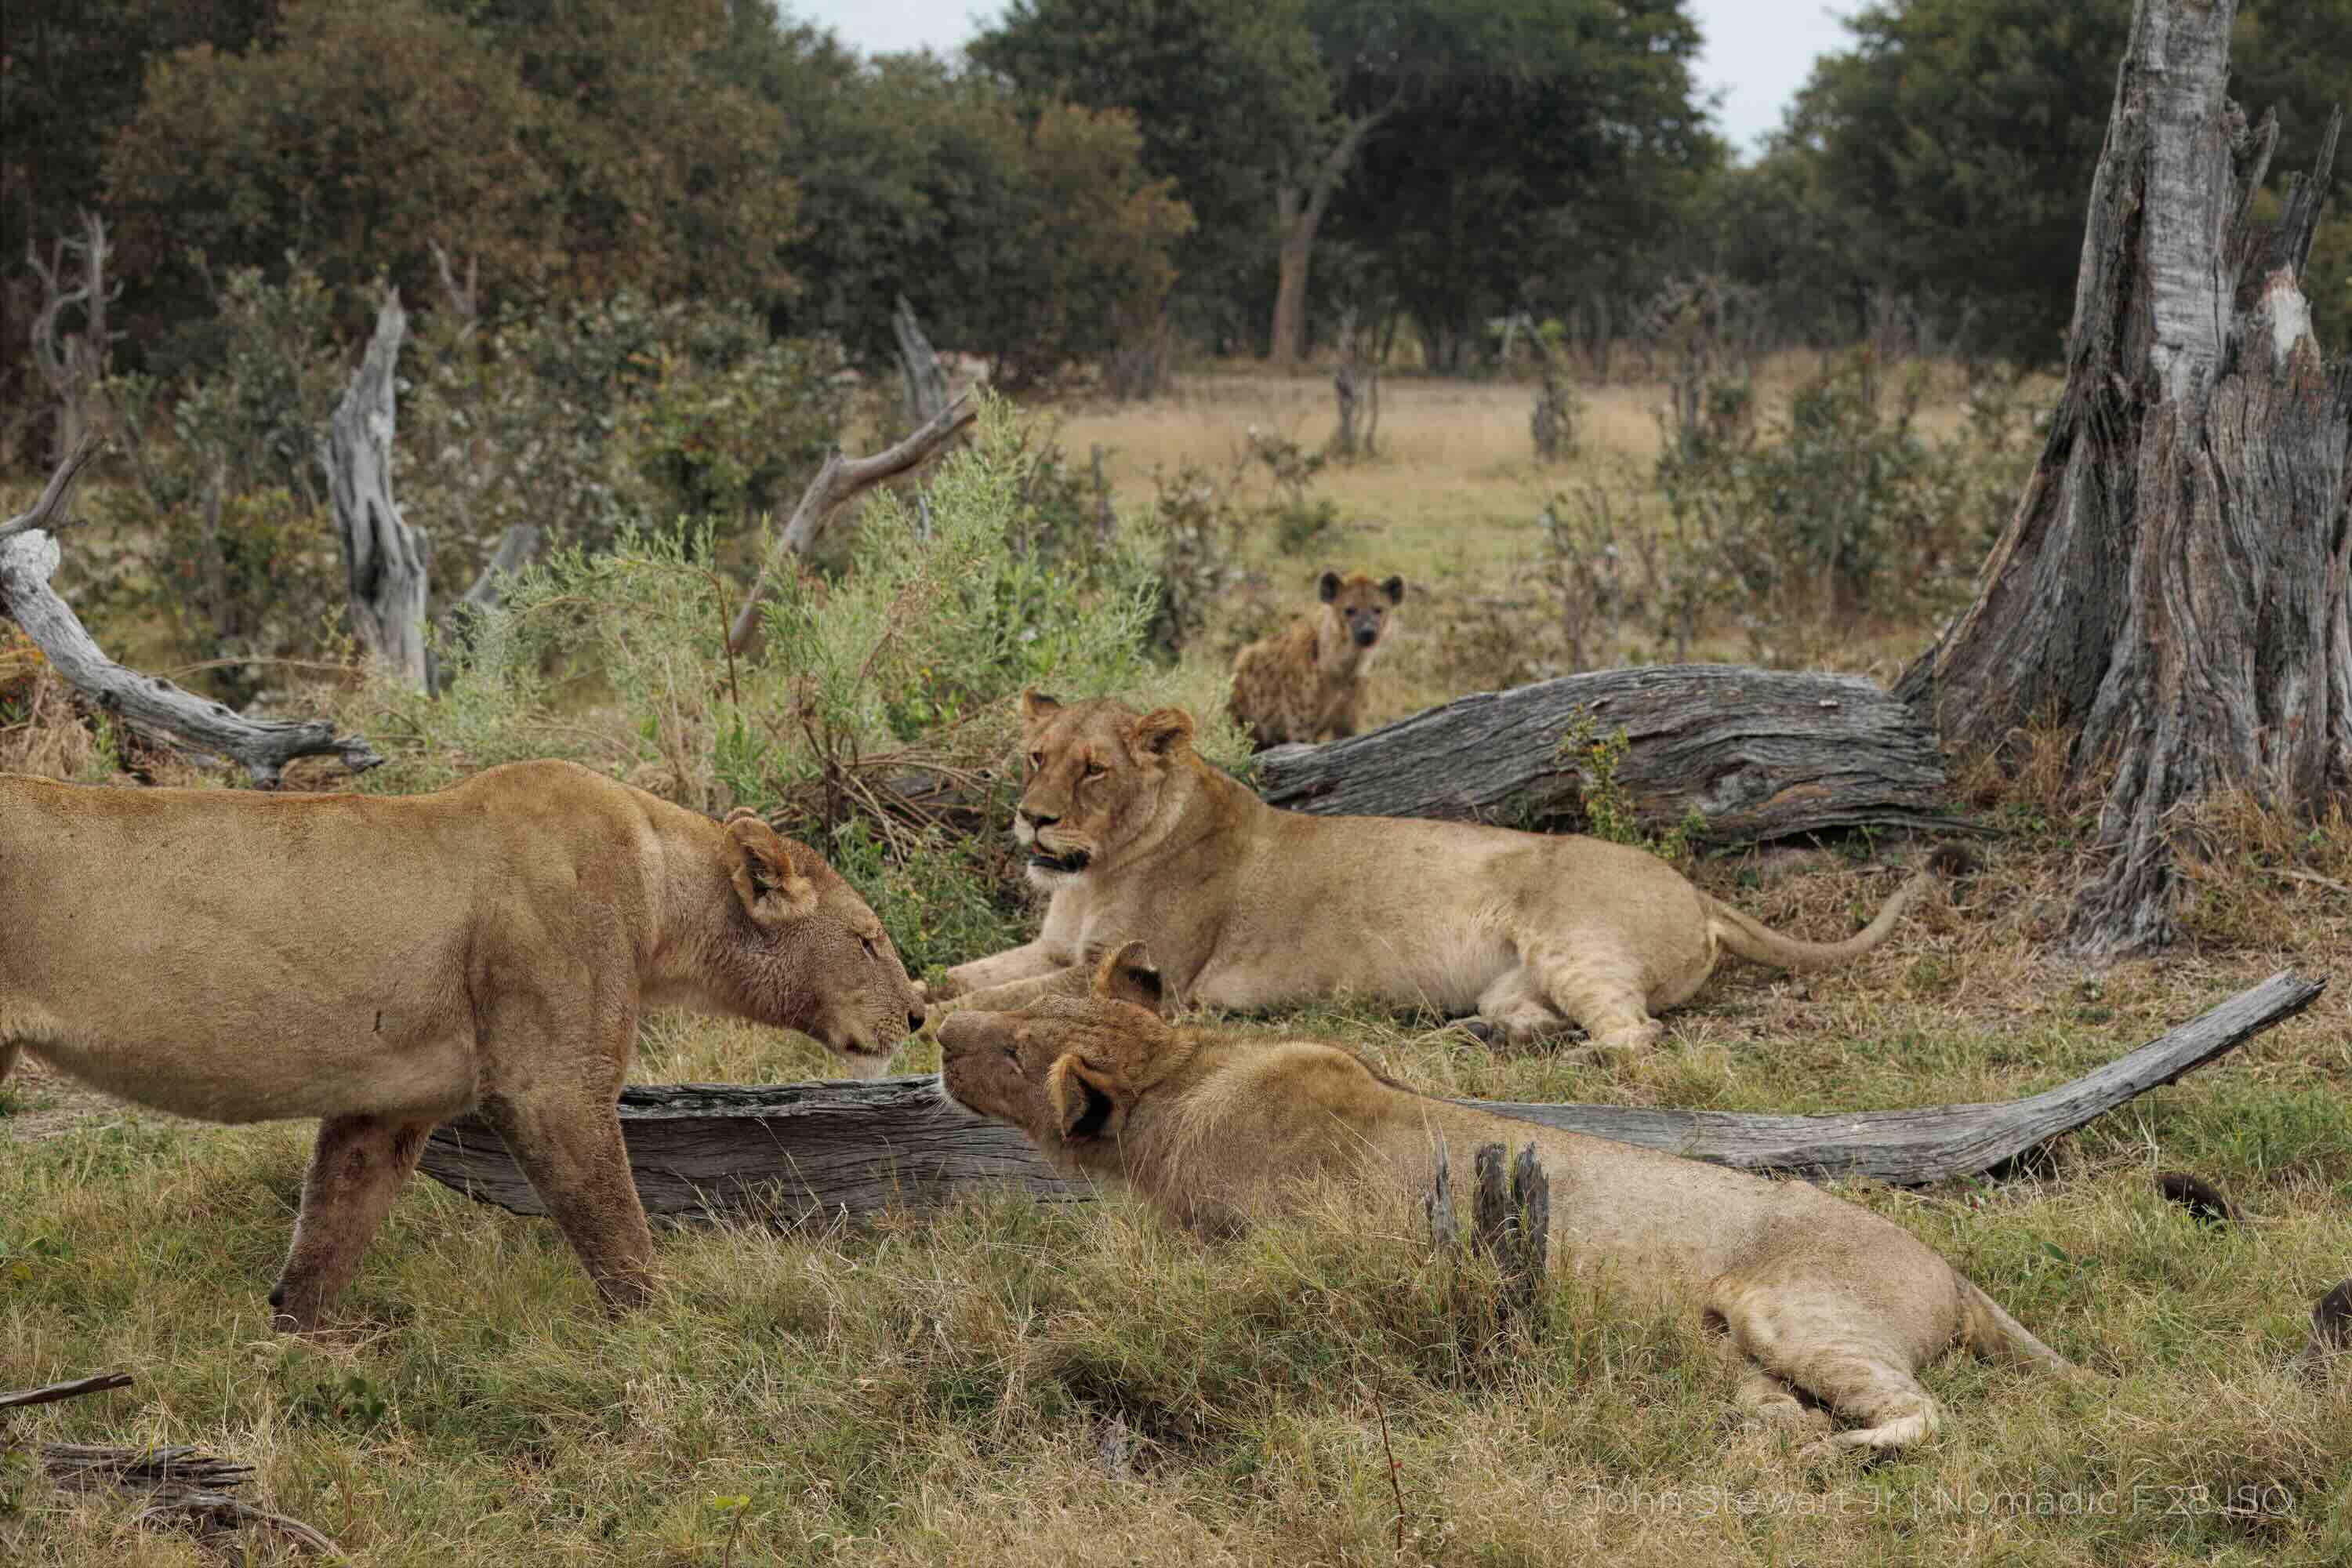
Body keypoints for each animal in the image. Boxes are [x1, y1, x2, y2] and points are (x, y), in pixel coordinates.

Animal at [0, 760, 926, 1329]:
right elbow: (617, 1227)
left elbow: (331, 1226)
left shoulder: (387, 1103)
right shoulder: (553, 1084)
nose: (918, 1017)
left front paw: (295, 1348)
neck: (662, 888)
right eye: (869, 940)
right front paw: (664, 1340)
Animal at [935, 692, 1954, 1052]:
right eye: (1036, 757)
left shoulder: (1143, 975)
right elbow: (958, 972)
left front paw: (935, 1020)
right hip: (1521, 978)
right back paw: (1495, 1037)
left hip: (1573, 938)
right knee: (1549, 1013)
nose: (1032, 818)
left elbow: (1004, 999)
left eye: (1094, 770)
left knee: (1637, 1035)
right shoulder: (1053, 947)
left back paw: (1566, 1055)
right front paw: (916, 993)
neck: (1089, 874)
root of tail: (1697, 887)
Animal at [939, 944, 2073, 1457]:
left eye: (1012, 1050)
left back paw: (1834, 1454)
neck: (1179, 1076)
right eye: (1020, 996)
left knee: (1921, 1413)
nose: (940, 1030)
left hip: (1799, 1304)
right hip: (1731, 1348)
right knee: (1774, 1402)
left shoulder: (1268, 1268)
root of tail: (1956, 1272)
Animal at [1228, 568, 1405, 749]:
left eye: (1378, 609)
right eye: (1349, 610)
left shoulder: (1348, 717)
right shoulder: (1300, 719)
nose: (1368, 632)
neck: (1344, 665)